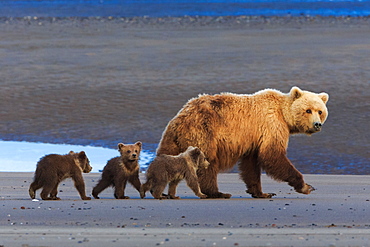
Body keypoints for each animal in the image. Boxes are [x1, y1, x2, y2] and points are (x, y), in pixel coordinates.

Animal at [156, 87, 330, 199]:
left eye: (320, 111)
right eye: (308, 110)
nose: (317, 124)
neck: (284, 115)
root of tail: (181, 117)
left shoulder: (254, 139)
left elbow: (251, 165)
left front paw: (261, 192)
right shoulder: (271, 126)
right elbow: (272, 155)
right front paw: (306, 186)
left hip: (172, 138)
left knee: (165, 156)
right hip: (204, 132)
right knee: (208, 163)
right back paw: (217, 193)